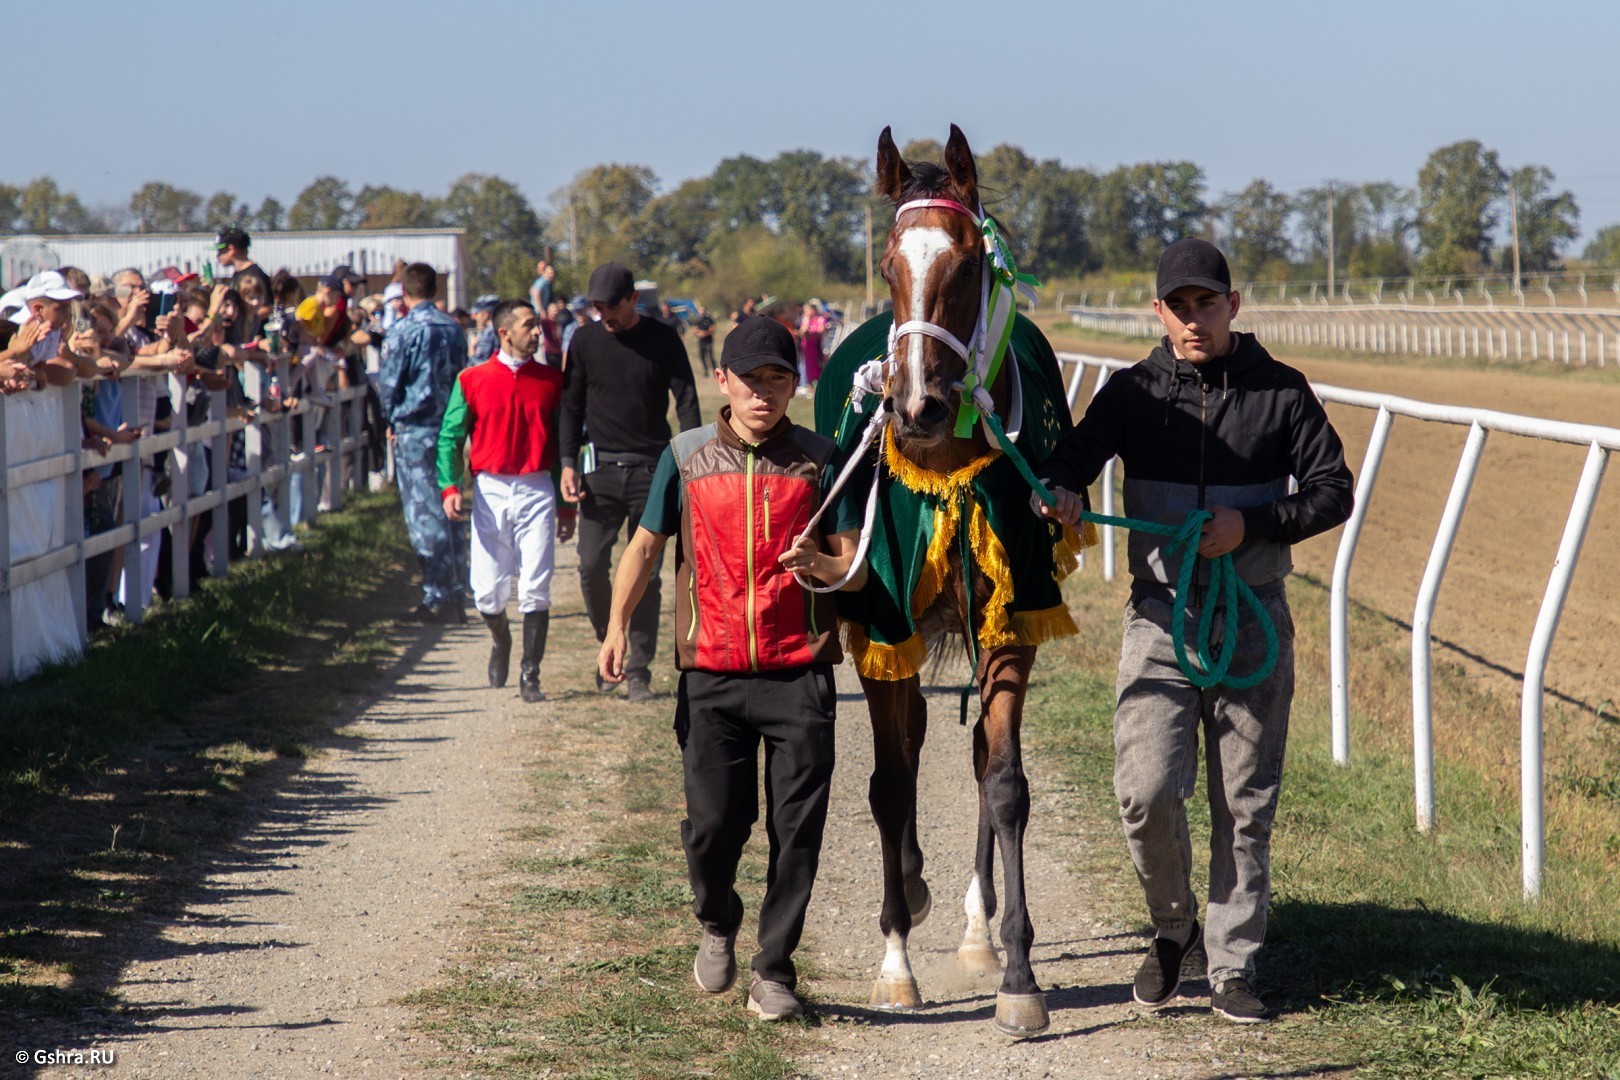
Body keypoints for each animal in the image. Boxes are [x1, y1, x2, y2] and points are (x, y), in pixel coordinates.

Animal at [822, 124, 1088, 1036]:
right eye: (889, 266)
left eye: (970, 265)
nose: (916, 407)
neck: (945, 471)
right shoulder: (882, 621)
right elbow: (888, 783)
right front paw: (895, 961)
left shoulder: (1011, 616)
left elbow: (1003, 782)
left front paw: (1017, 971)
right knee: (909, 751)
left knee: (973, 759)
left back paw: (976, 926)